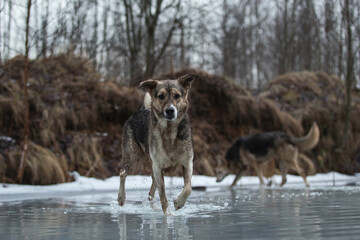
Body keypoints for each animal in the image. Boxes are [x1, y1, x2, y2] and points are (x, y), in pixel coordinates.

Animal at [117, 74, 197, 215]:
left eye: (177, 96)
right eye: (161, 96)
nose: (170, 110)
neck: (169, 132)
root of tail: (141, 111)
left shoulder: (187, 163)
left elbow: (188, 188)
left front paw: (179, 203)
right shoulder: (158, 166)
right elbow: (163, 192)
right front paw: (168, 214)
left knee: (150, 193)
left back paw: (154, 208)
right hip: (134, 159)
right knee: (122, 173)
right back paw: (121, 198)